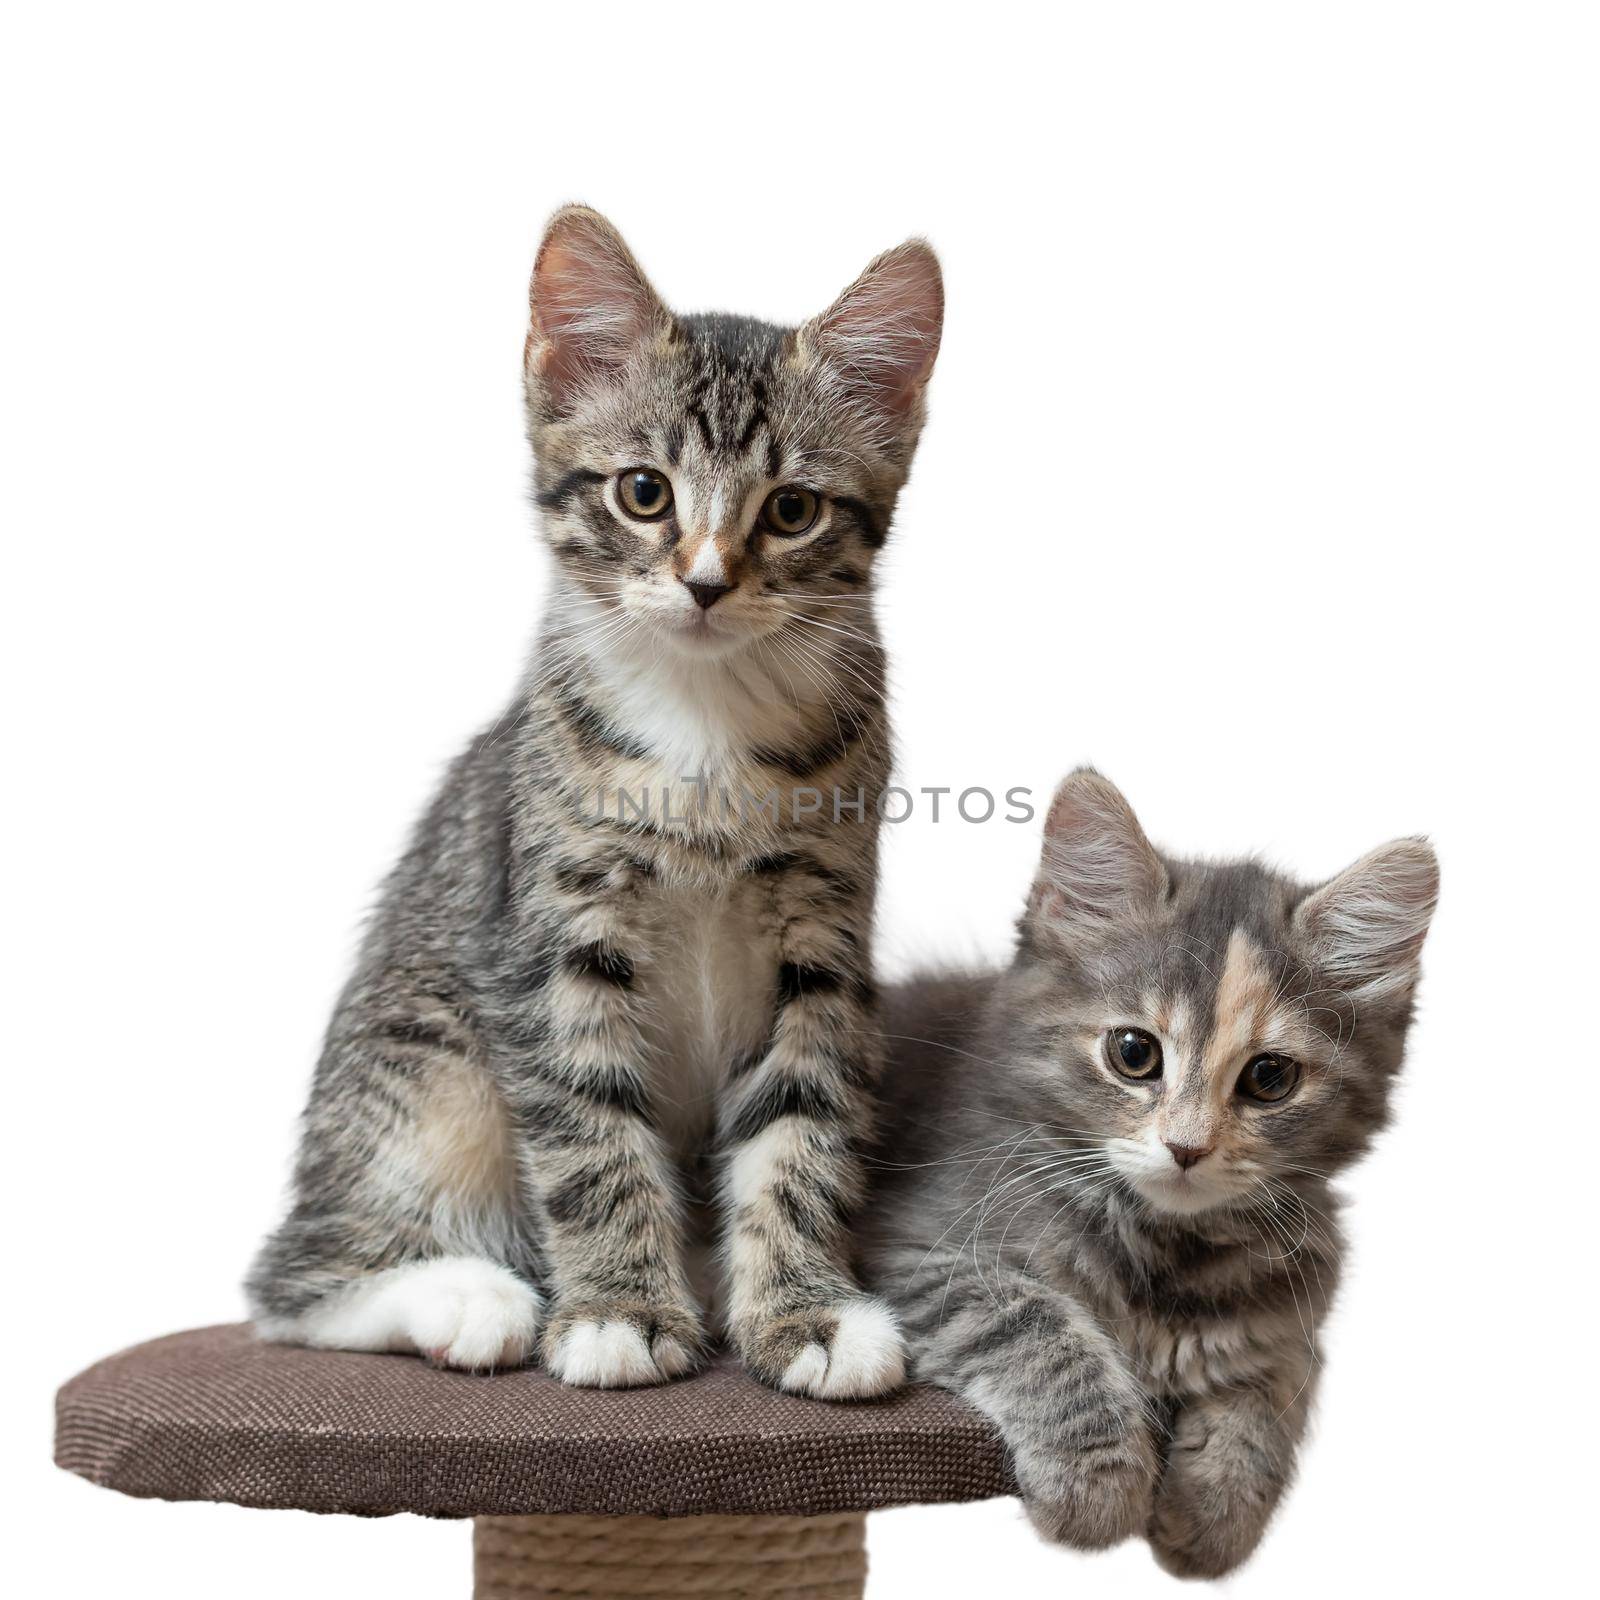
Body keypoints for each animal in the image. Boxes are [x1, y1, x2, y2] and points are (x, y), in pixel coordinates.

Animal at [244, 206, 940, 1395]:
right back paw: (467, 1296)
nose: (705, 582)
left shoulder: (824, 941)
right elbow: (586, 1126)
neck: (706, 722)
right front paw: (619, 1311)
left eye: (793, 510)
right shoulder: (550, 931)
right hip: (429, 1066)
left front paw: (801, 1311)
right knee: (290, 1282)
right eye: (643, 492)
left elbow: (802, 1125)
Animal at [864, 771, 1440, 1574]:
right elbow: (1035, 1325)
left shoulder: (1297, 1309)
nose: (1187, 1147)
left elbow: (1274, 1386)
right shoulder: (918, 1245)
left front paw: (1214, 1513)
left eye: (1270, 1077)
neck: (1162, 1247)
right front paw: (1099, 1488)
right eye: (1134, 1053)